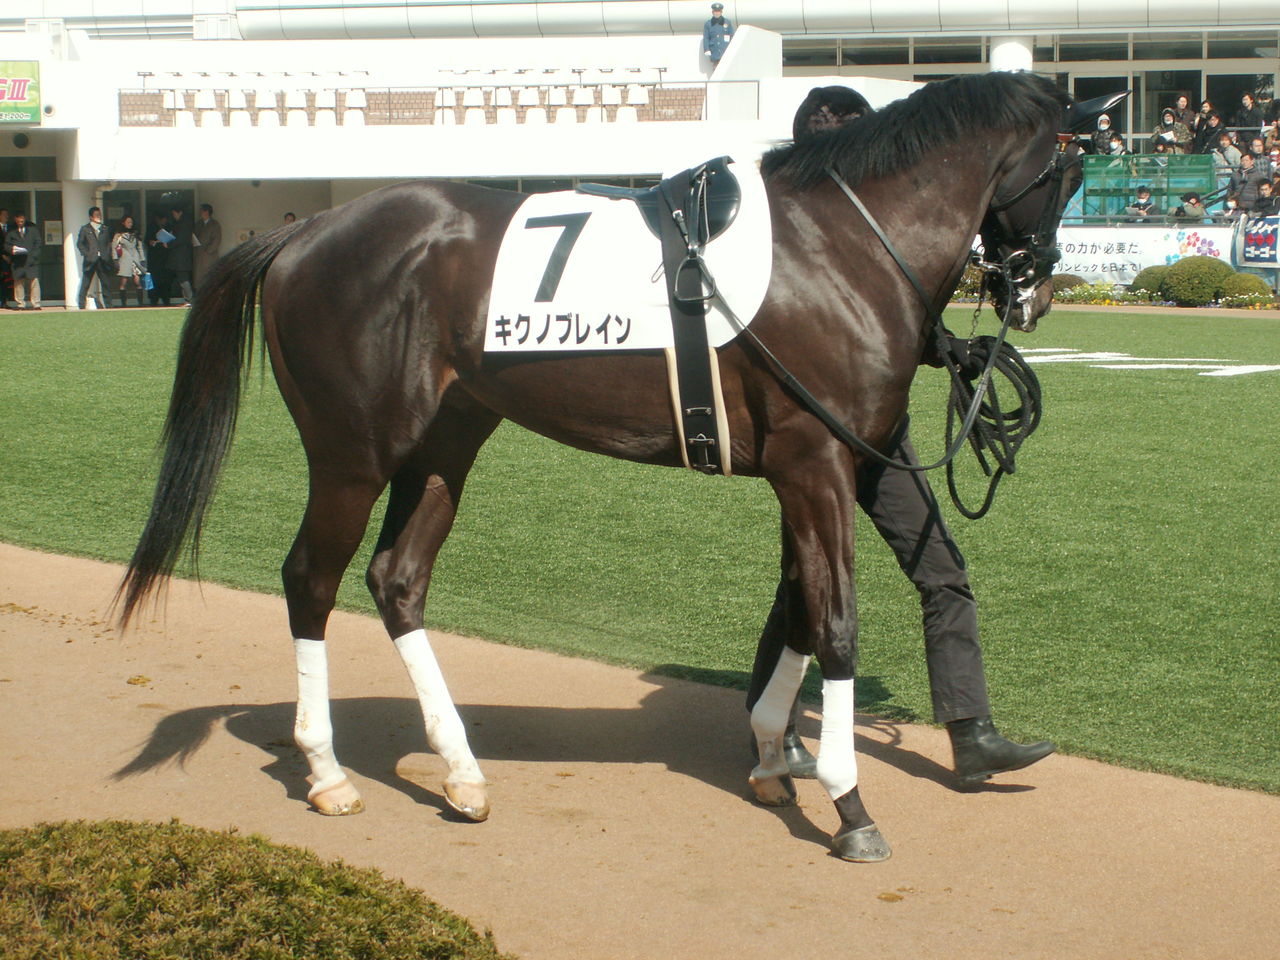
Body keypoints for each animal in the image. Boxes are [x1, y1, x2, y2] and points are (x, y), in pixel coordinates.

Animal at [118, 70, 1085, 862]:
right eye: (1069, 173)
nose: (1035, 290)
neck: (838, 245)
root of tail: (307, 230)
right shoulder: (815, 466)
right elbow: (836, 622)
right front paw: (849, 806)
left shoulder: (831, 467)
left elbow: (803, 612)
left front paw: (778, 756)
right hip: (352, 454)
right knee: (309, 579)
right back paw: (327, 774)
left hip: (445, 443)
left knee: (396, 579)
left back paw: (462, 772)